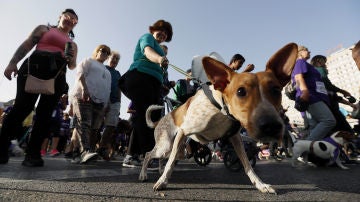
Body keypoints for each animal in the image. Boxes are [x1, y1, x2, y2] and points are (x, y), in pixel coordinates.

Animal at [139, 43, 298, 194]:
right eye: (240, 91)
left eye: (276, 90)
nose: (272, 126)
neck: (220, 110)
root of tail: (160, 121)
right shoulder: (184, 131)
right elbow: (170, 163)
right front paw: (163, 181)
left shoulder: (235, 137)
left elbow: (247, 164)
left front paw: (260, 184)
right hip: (166, 145)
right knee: (149, 154)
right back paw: (144, 174)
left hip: (173, 147)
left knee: (162, 158)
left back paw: (159, 170)